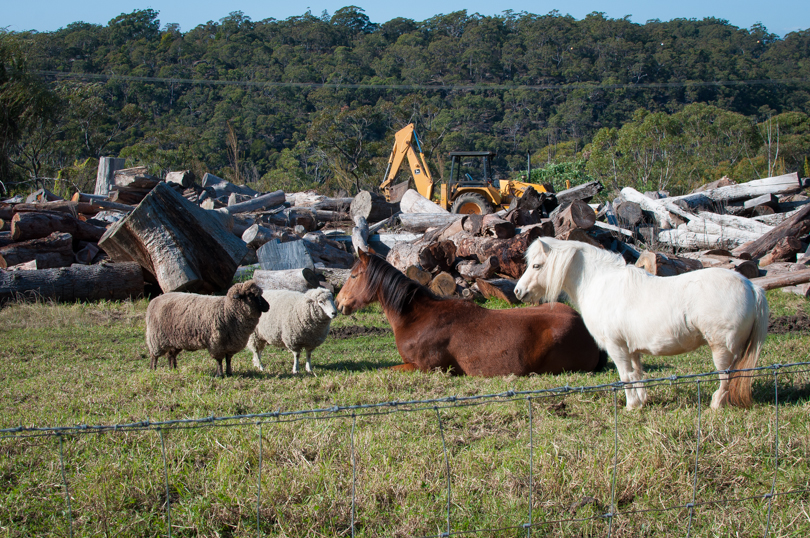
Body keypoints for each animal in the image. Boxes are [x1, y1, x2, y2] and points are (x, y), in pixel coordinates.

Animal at [516, 237, 768, 408]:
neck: (600, 283)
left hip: (722, 348)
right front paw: (642, 401)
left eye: (536, 265)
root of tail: (750, 286)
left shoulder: (617, 347)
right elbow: (638, 375)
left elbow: (626, 377)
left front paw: (631, 406)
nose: (518, 291)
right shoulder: (632, 349)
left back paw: (715, 405)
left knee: (726, 376)